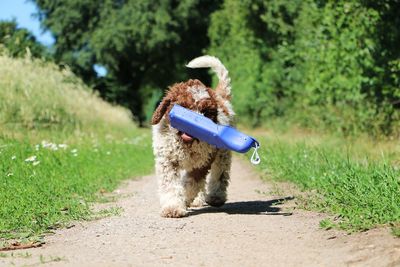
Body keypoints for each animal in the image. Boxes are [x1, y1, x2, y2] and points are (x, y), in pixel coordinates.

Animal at [152, 56, 234, 218]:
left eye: (206, 112)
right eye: (183, 106)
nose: (194, 124)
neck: (185, 143)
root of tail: (221, 98)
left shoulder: (203, 162)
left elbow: (192, 183)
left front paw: (184, 199)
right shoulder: (167, 161)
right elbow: (170, 185)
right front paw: (173, 207)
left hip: (222, 155)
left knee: (220, 175)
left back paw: (216, 197)